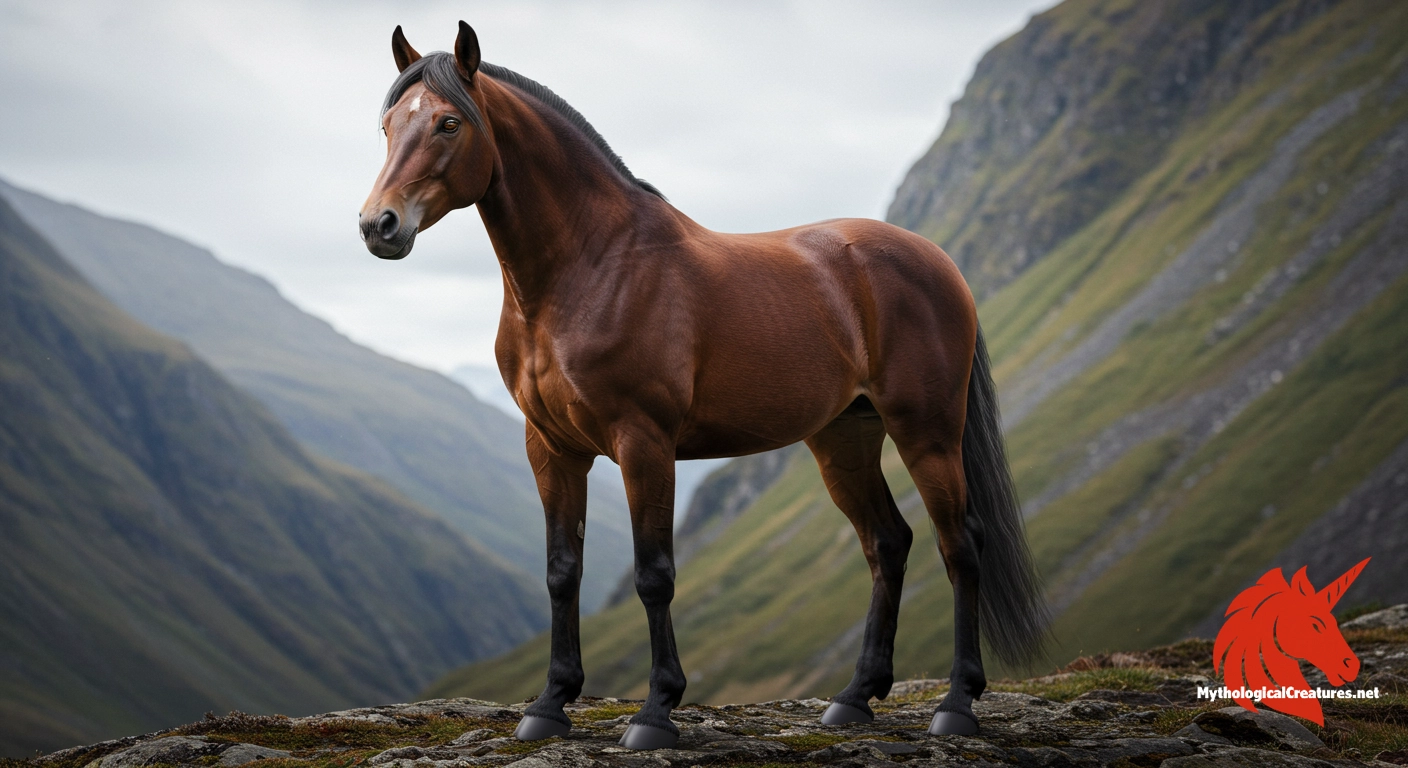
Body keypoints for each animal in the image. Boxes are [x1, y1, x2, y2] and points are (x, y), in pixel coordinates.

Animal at [359, 21, 1047, 750]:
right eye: (388, 126)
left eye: (448, 122)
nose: (379, 225)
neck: (591, 267)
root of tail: (938, 261)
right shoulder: (551, 448)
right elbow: (561, 572)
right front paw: (550, 704)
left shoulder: (643, 444)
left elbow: (654, 574)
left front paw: (657, 711)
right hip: (845, 441)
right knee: (887, 544)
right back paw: (855, 697)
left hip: (927, 432)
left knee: (960, 544)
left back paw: (957, 703)